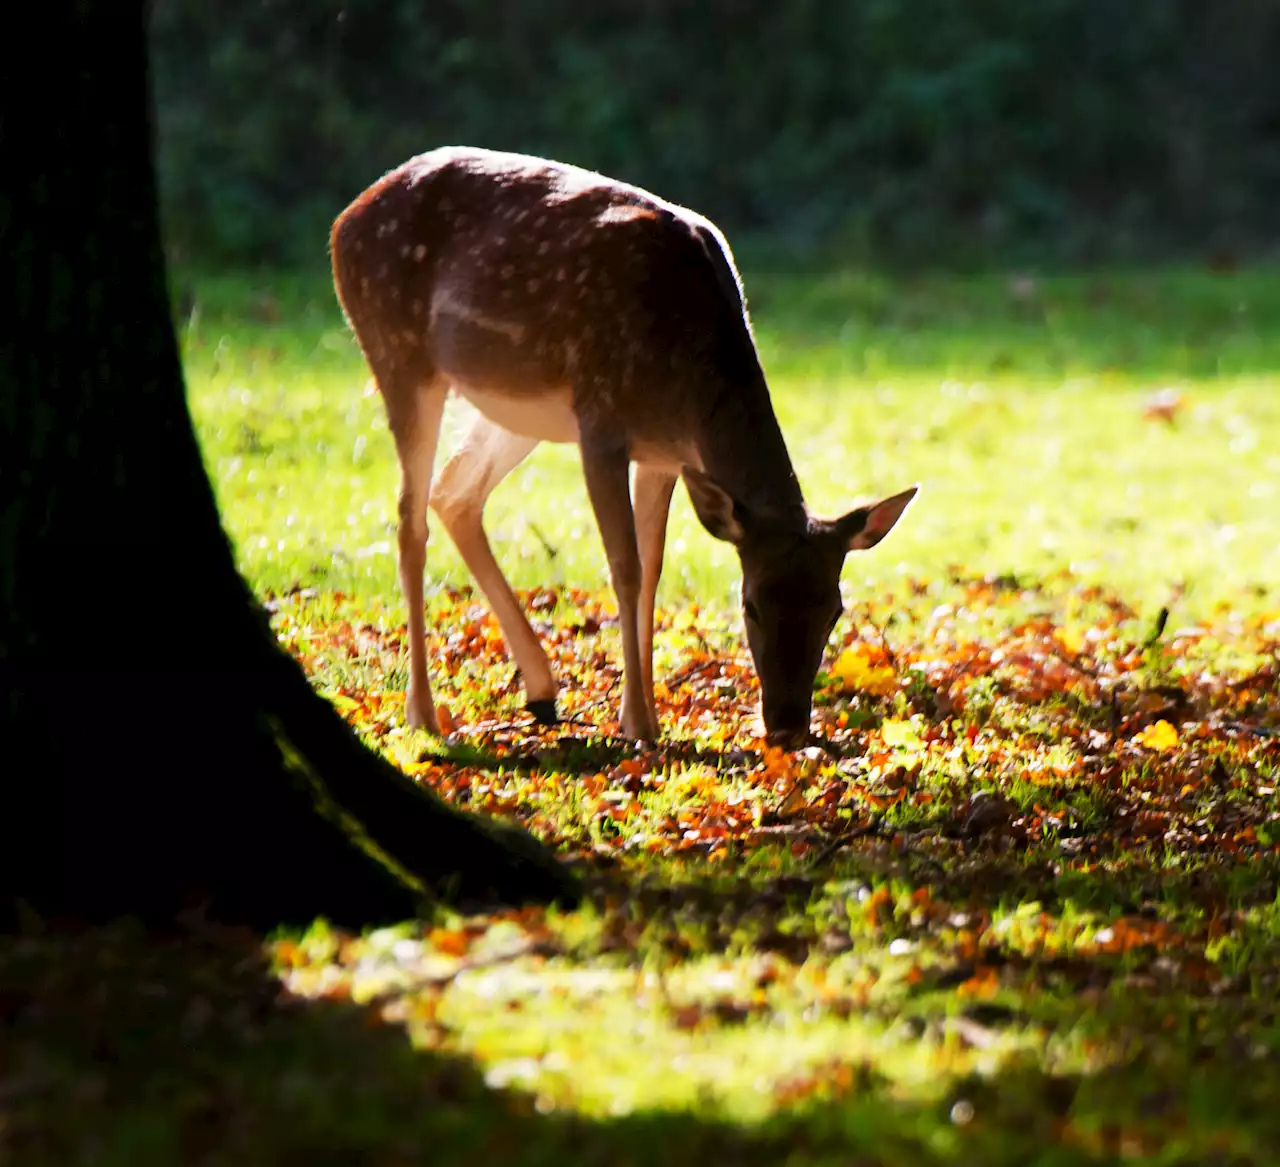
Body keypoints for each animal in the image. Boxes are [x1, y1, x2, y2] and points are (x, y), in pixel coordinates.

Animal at [325, 145, 916, 747]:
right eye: (749, 604)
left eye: (834, 610)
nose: (789, 728)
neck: (684, 382)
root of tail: (343, 220)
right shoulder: (601, 423)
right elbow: (625, 567)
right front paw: (637, 722)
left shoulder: (663, 456)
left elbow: (653, 568)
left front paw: (648, 712)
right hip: (398, 352)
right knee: (409, 520)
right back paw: (423, 712)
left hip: (514, 412)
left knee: (454, 494)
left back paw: (540, 691)